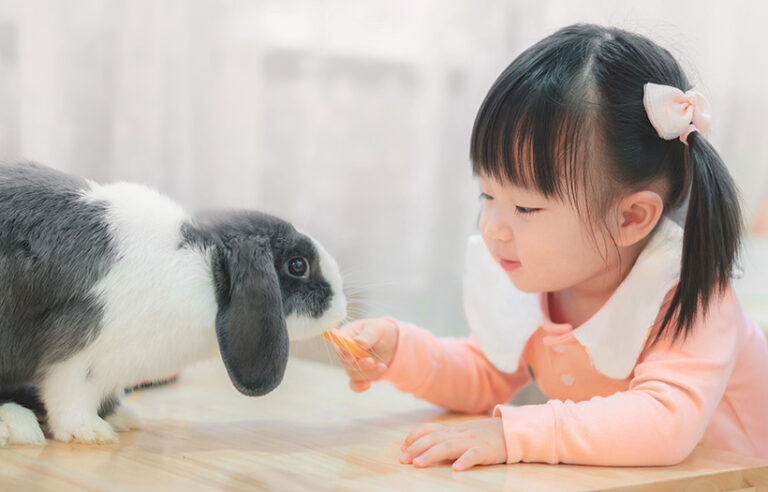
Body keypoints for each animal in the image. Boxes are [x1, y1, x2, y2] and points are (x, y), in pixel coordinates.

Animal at [0, 162, 344, 446]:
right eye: (298, 265)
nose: (340, 310)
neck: (207, 269)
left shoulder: (109, 373)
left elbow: (104, 396)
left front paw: (120, 417)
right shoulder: (78, 358)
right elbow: (70, 397)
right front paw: (91, 432)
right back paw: (17, 425)